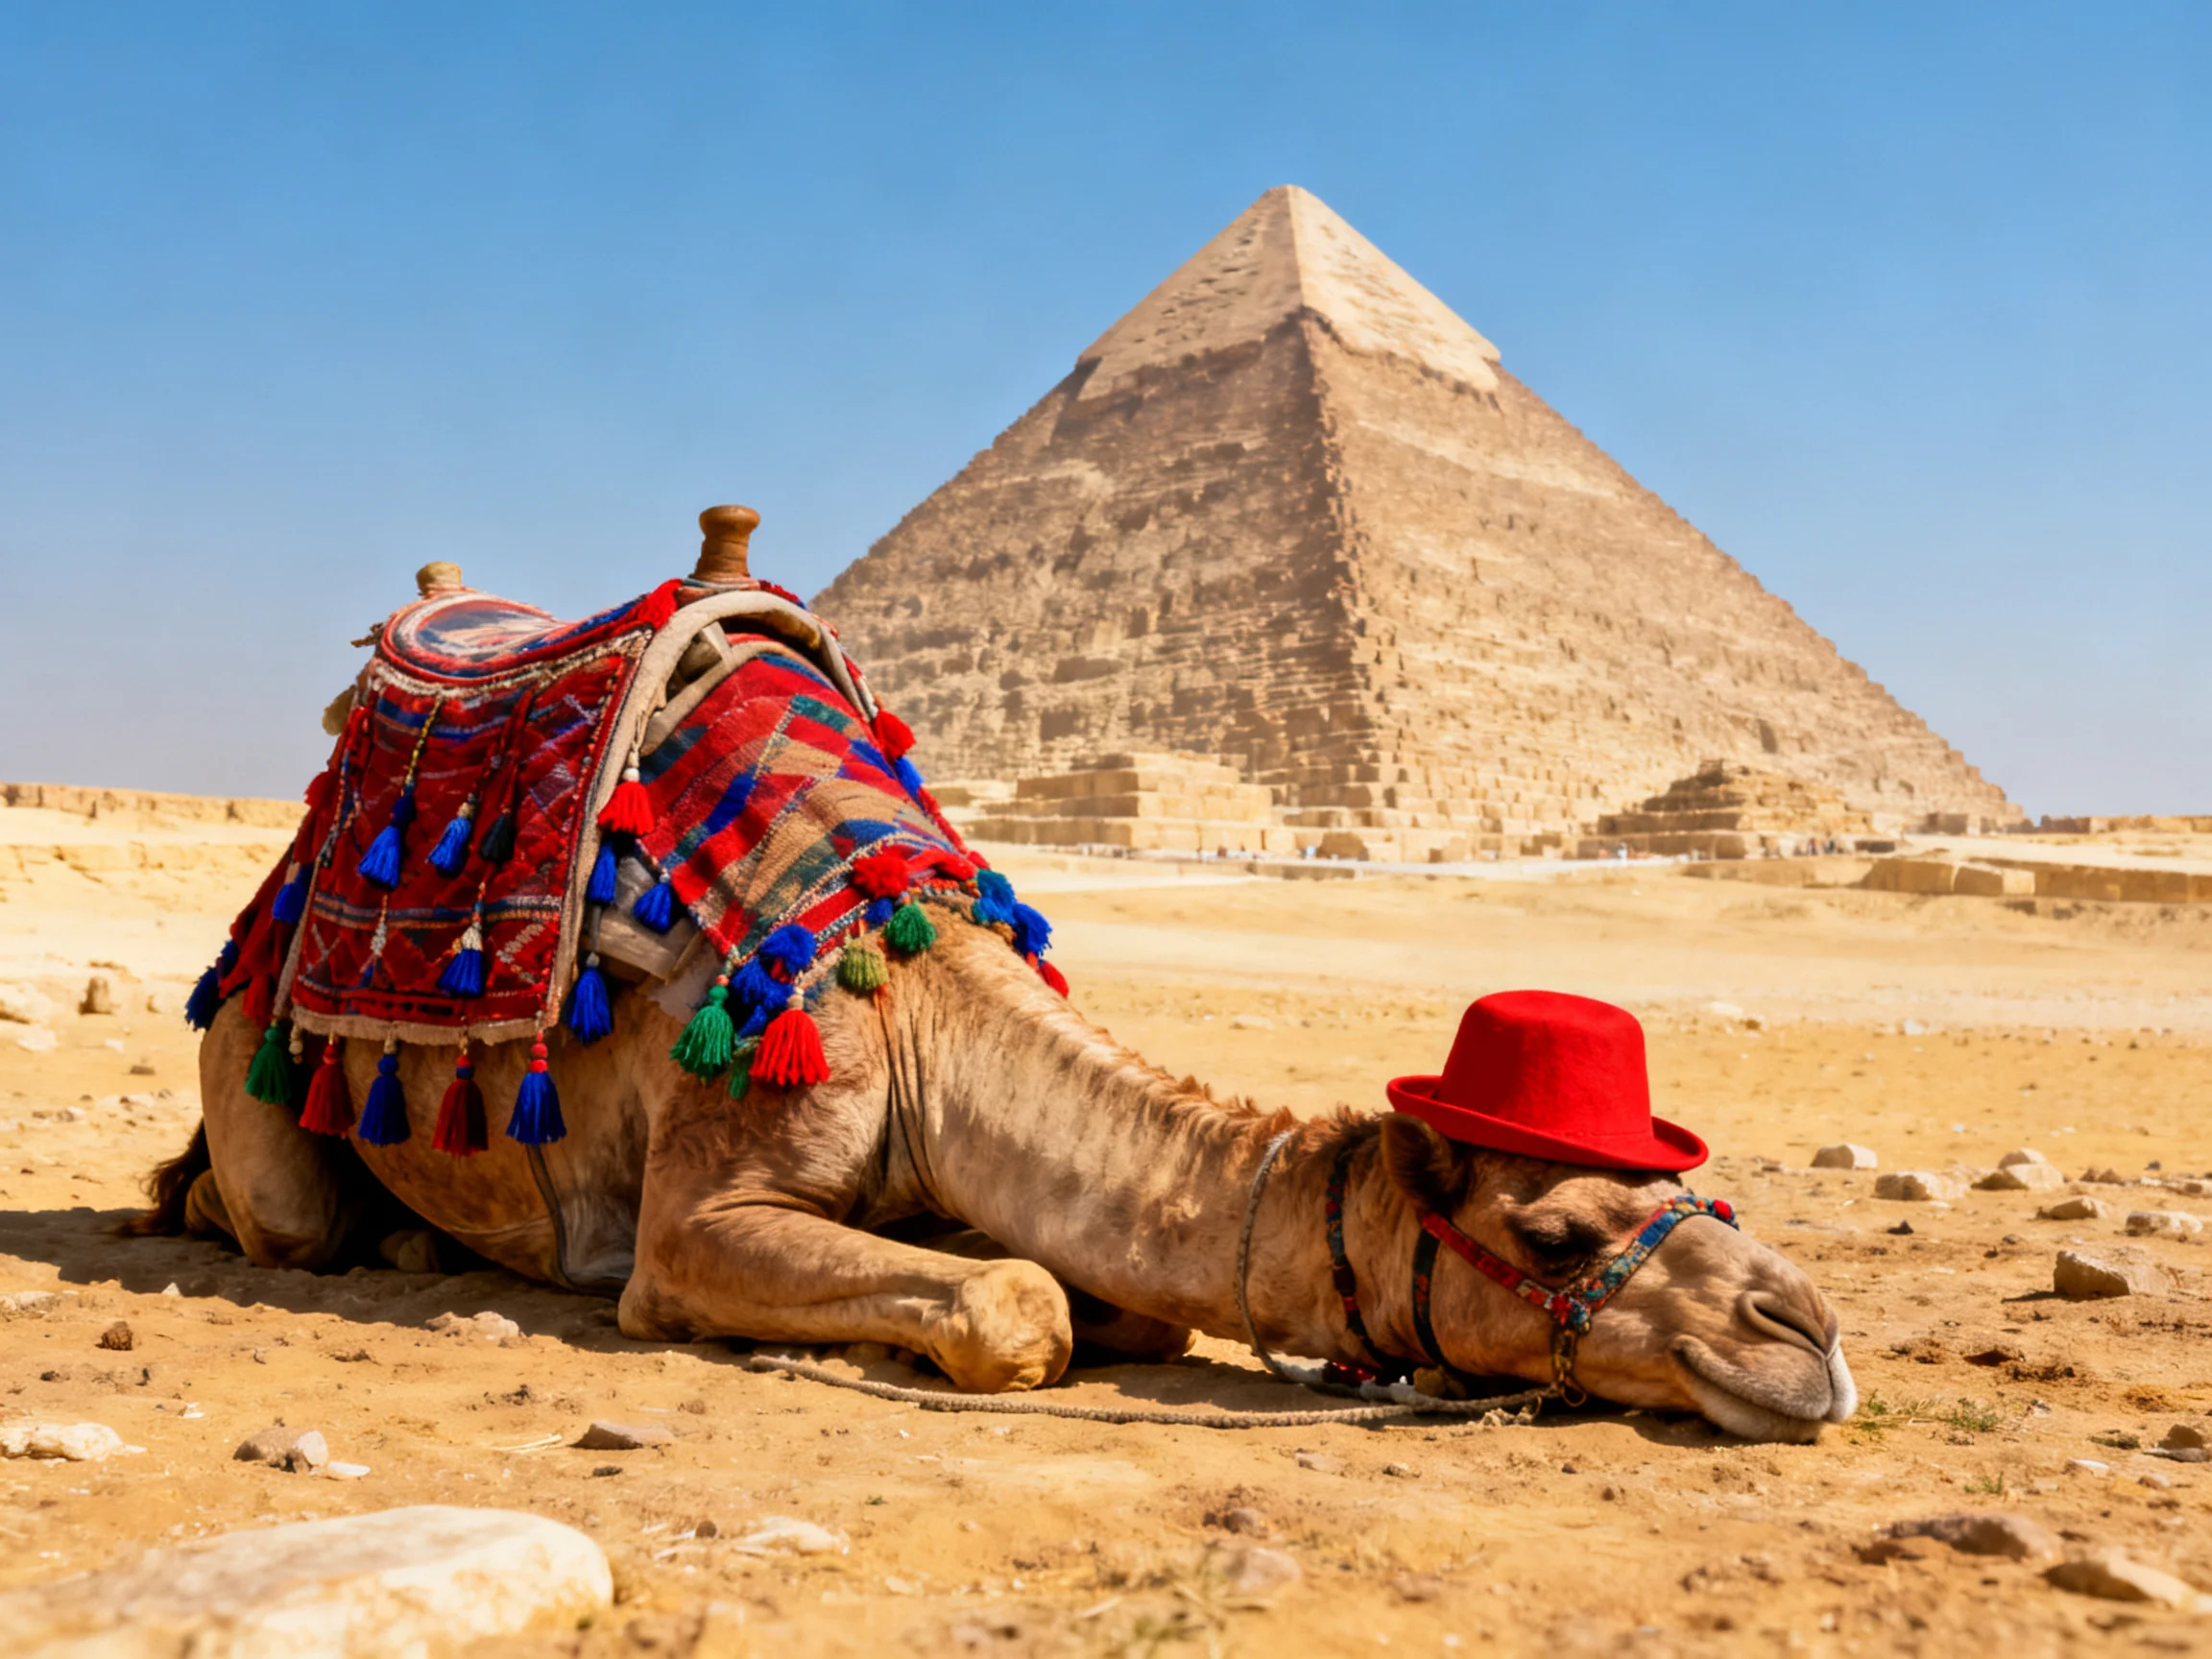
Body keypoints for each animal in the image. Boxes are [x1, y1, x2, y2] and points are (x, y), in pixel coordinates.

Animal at [135, 515, 1857, 1444]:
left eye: (1687, 1187)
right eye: (1554, 1230)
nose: (1807, 1332)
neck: (930, 1011)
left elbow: (1115, 1300)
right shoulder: (702, 1207)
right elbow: (1018, 1302)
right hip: (256, 1044)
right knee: (268, 1204)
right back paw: (361, 1235)